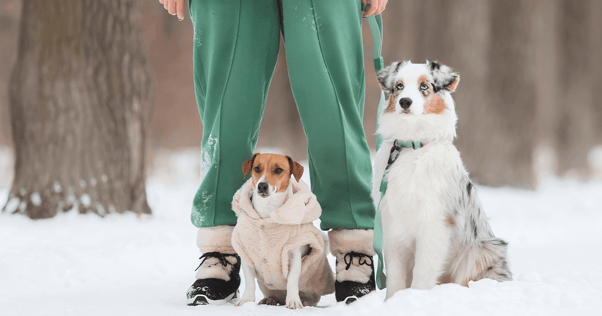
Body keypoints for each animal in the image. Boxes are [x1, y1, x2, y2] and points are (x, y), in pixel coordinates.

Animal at [230, 153, 332, 308]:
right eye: (257, 168)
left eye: (278, 170)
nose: (262, 185)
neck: (268, 211)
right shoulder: (246, 253)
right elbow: (249, 281)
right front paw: (246, 300)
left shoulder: (294, 253)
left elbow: (292, 280)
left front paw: (294, 301)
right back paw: (270, 299)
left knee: (310, 297)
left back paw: (303, 300)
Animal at [372, 59, 508, 298]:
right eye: (399, 86)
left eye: (424, 86)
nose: (405, 101)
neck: (412, 145)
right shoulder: (391, 225)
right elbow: (395, 277)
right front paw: (394, 301)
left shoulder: (434, 224)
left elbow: (422, 272)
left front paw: (415, 298)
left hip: (483, 252)